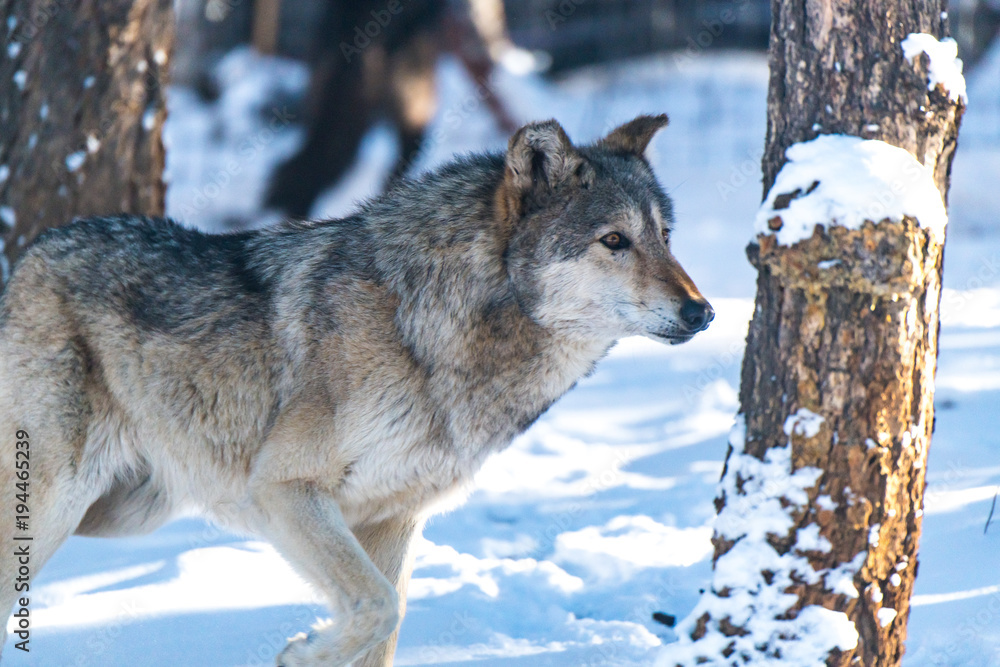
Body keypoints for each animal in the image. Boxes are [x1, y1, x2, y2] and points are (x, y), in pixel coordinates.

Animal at [0, 115, 712, 666]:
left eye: (665, 238)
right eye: (613, 241)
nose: (703, 312)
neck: (428, 333)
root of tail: (30, 254)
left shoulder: (394, 520)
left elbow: (386, 623)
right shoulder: (283, 491)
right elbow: (378, 606)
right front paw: (303, 653)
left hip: (122, 514)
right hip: (58, 508)